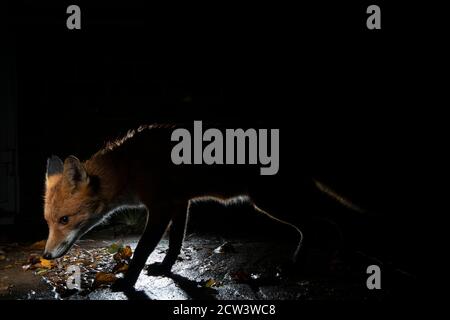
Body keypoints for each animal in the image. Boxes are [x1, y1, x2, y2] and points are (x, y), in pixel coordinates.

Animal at [43, 124, 362, 292]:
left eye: (65, 219)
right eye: (48, 222)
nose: (45, 256)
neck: (129, 169)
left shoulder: (161, 206)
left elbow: (143, 249)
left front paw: (127, 282)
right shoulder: (180, 201)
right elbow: (175, 242)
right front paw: (165, 268)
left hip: (273, 200)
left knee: (329, 219)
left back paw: (333, 258)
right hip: (281, 199)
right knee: (323, 222)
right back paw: (306, 262)